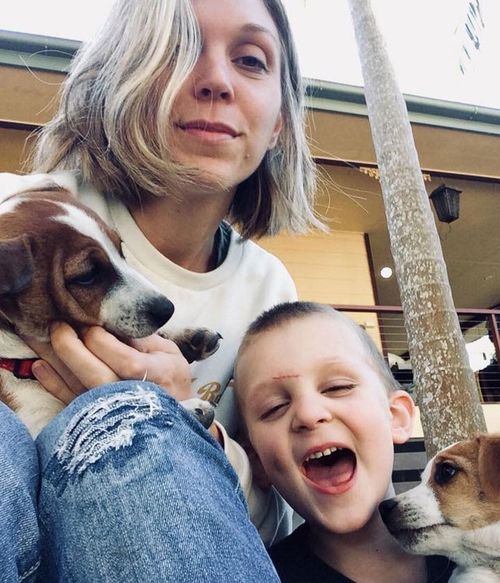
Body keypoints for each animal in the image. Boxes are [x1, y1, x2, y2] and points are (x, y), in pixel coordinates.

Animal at [0, 175, 219, 438]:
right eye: (88, 275)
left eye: (120, 250)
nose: (168, 310)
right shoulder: (36, 423)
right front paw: (188, 408)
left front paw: (183, 335)